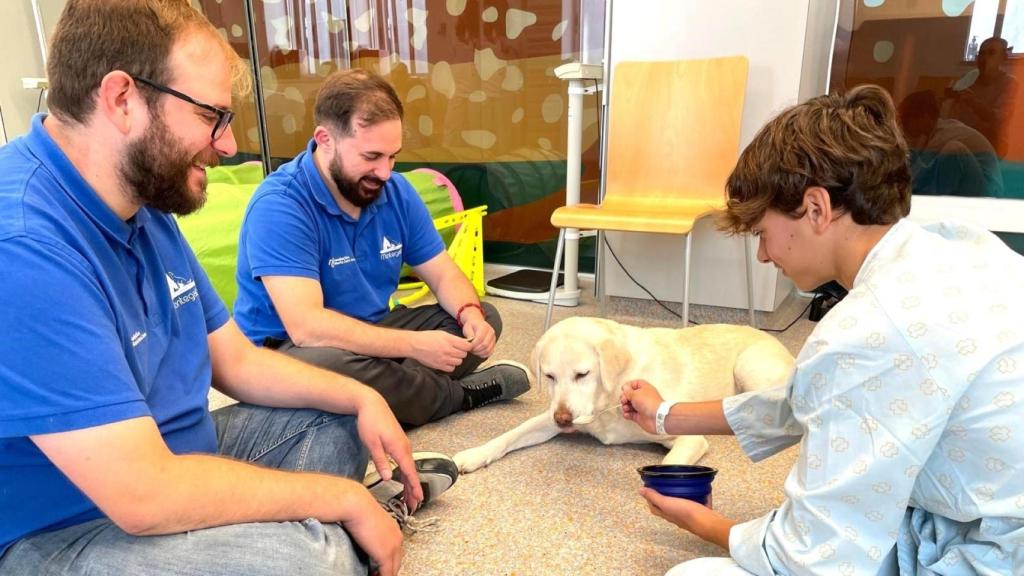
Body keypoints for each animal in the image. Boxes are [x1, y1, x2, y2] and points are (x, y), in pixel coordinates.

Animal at [452, 313, 794, 471]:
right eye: (549, 376)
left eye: (582, 374)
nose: (563, 419)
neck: (610, 398)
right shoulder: (549, 417)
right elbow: (510, 434)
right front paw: (475, 454)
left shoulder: (689, 437)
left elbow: (669, 464)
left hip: (750, 367)